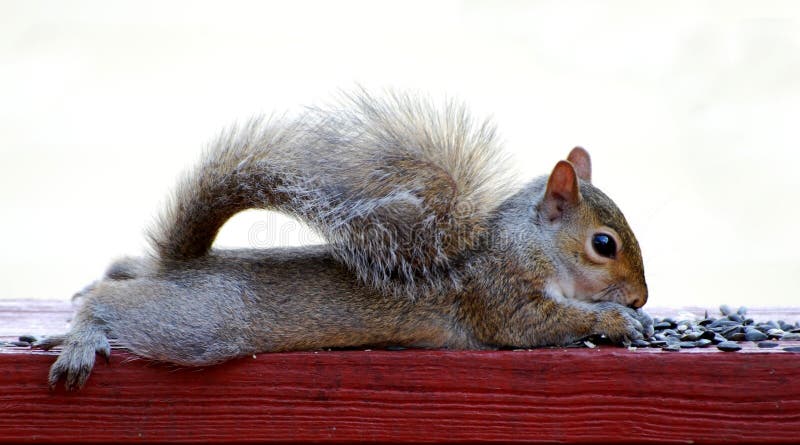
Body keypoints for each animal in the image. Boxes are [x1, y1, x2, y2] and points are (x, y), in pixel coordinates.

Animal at [34, 89, 652, 388]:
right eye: (604, 244)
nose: (643, 298)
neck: (530, 245)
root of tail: (182, 265)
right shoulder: (497, 295)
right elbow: (534, 324)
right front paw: (619, 321)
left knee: (123, 277)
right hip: (202, 324)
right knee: (113, 303)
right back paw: (81, 337)